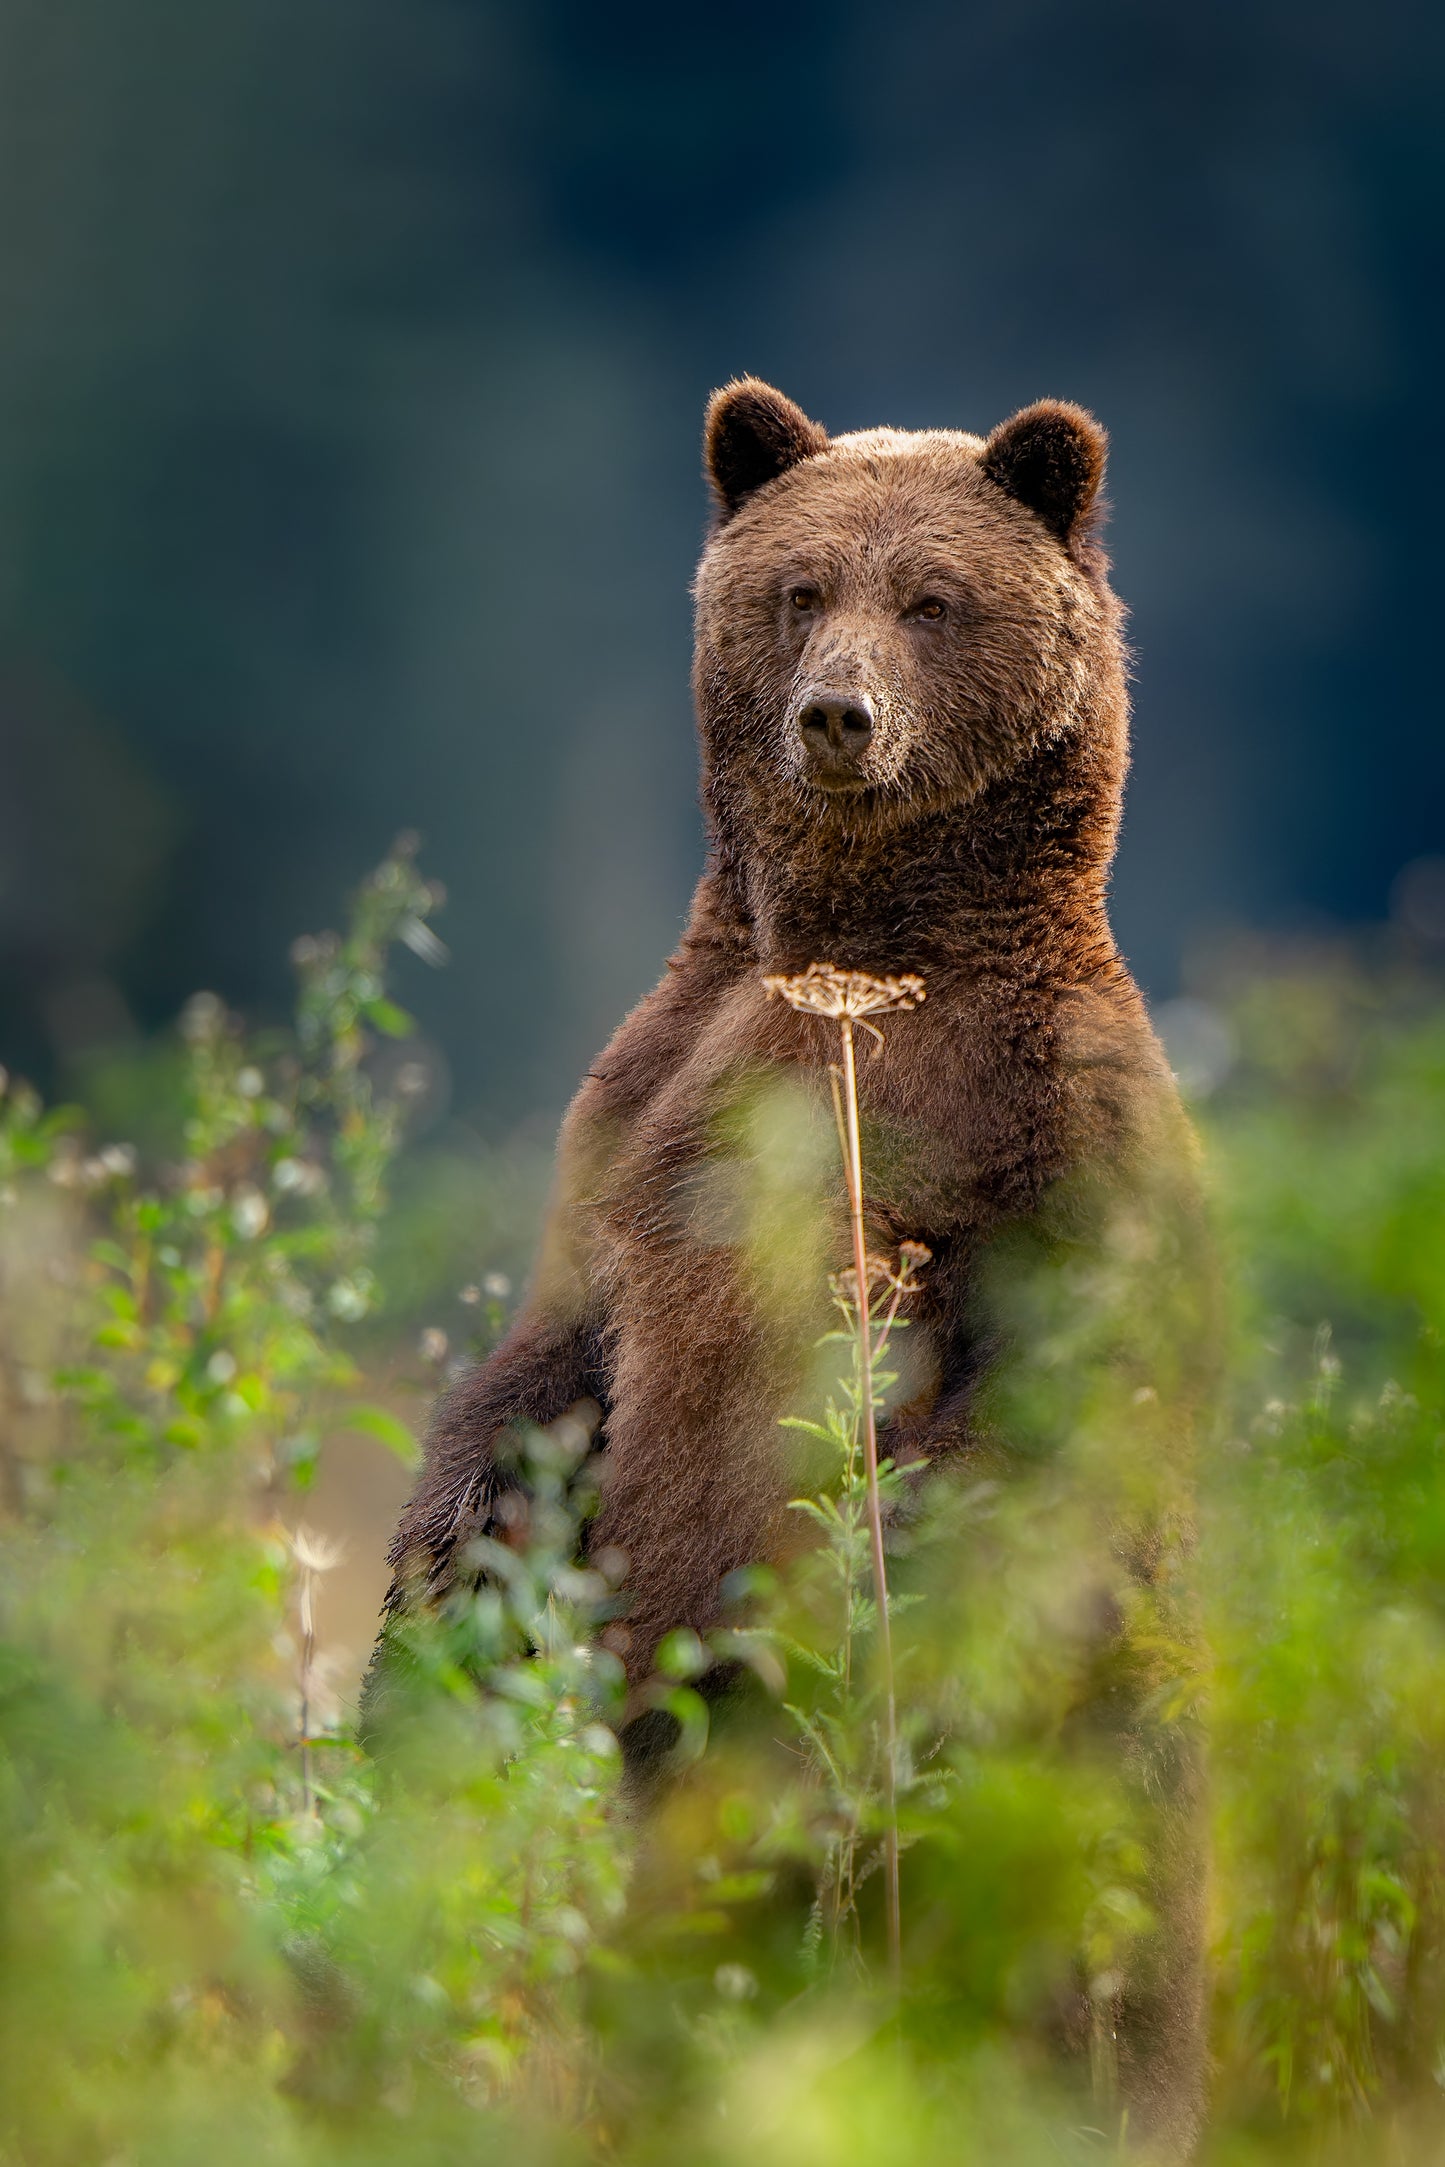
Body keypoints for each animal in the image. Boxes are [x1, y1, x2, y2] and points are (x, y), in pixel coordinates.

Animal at [376, 381, 1213, 2158]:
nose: (837, 716)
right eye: (799, 586)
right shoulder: (645, 1103)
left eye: (933, 598)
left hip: (1069, 1813)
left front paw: (799, 1623)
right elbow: (544, 1370)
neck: (857, 954)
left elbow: (1025, 1411)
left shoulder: (1044, 1129)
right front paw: (426, 1622)